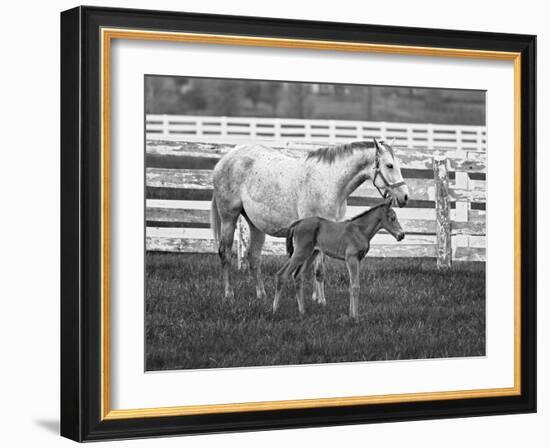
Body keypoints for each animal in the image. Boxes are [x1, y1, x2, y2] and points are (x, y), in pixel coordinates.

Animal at [211, 138, 410, 302]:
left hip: (255, 225)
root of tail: (224, 159)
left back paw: (262, 294)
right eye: (389, 165)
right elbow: (318, 270)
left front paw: (316, 297)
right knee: (225, 253)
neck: (329, 182)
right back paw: (228, 294)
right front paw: (321, 300)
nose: (405, 196)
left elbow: (319, 269)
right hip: (229, 217)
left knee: (253, 257)